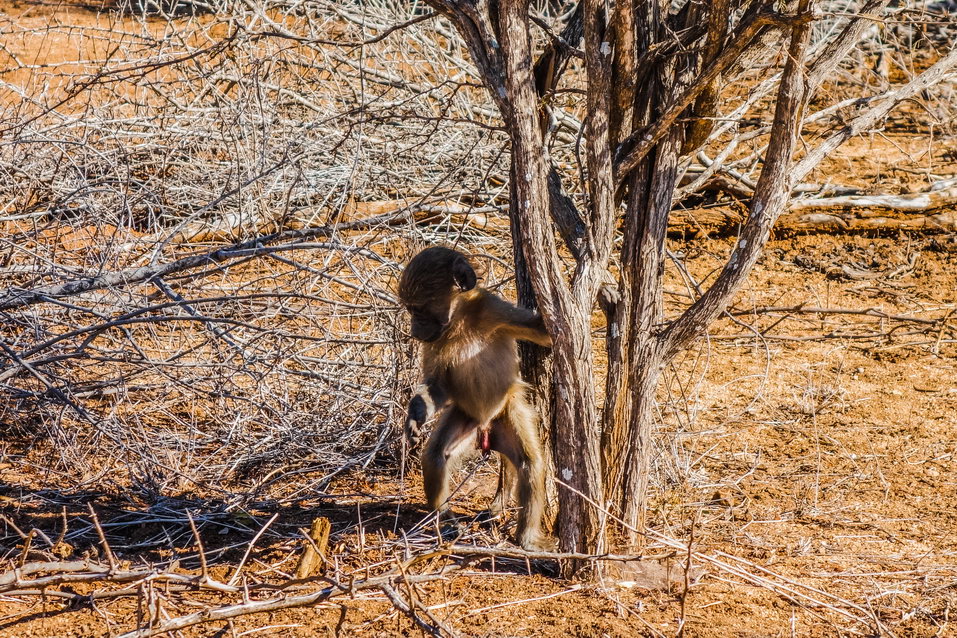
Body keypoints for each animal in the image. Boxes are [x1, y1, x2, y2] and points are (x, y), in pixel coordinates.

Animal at [398, 248, 552, 552]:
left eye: (418, 309)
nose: (414, 330)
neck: (460, 320)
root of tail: (486, 427)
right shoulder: (436, 341)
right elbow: (438, 386)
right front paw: (416, 414)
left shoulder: (493, 307)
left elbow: (545, 335)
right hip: (465, 416)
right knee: (436, 456)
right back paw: (445, 522)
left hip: (507, 411)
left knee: (529, 464)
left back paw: (526, 539)